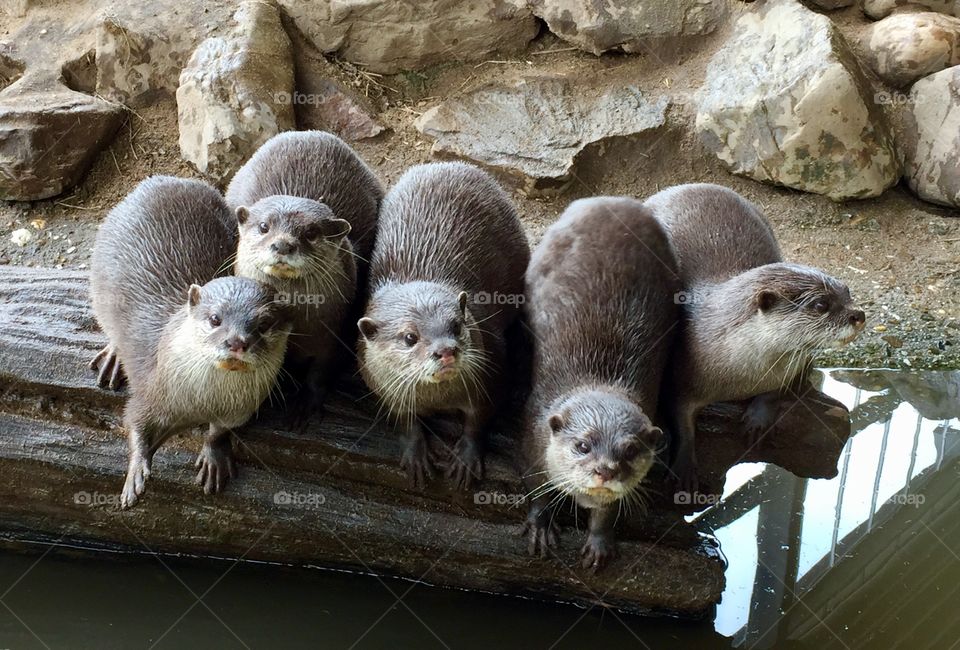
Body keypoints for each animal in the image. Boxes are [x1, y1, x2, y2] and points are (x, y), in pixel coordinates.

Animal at [92, 177, 290, 506]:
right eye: (215, 319)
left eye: (263, 324)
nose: (237, 342)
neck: (202, 402)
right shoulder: (150, 392)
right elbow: (133, 422)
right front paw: (136, 474)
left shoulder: (239, 411)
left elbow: (219, 432)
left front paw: (213, 457)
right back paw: (112, 359)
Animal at [356, 162, 528, 486]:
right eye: (410, 337)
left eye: (457, 326)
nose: (446, 350)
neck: (438, 399)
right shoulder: (385, 390)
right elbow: (403, 419)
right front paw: (415, 454)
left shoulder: (490, 374)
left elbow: (479, 419)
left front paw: (466, 458)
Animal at [516, 195, 676, 568]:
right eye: (582, 445)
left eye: (630, 450)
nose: (605, 470)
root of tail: (610, 200)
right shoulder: (532, 435)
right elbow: (535, 486)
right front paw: (539, 526)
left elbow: (608, 510)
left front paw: (600, 542)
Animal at [640, 182, 868, 492]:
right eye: (821, 305)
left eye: (847, 292)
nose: (858, 315)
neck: (742, 374)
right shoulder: (682, 376)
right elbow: (680, 420)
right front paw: (684, 466)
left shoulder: (787, 369)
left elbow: (775, 392)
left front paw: (758, 419)